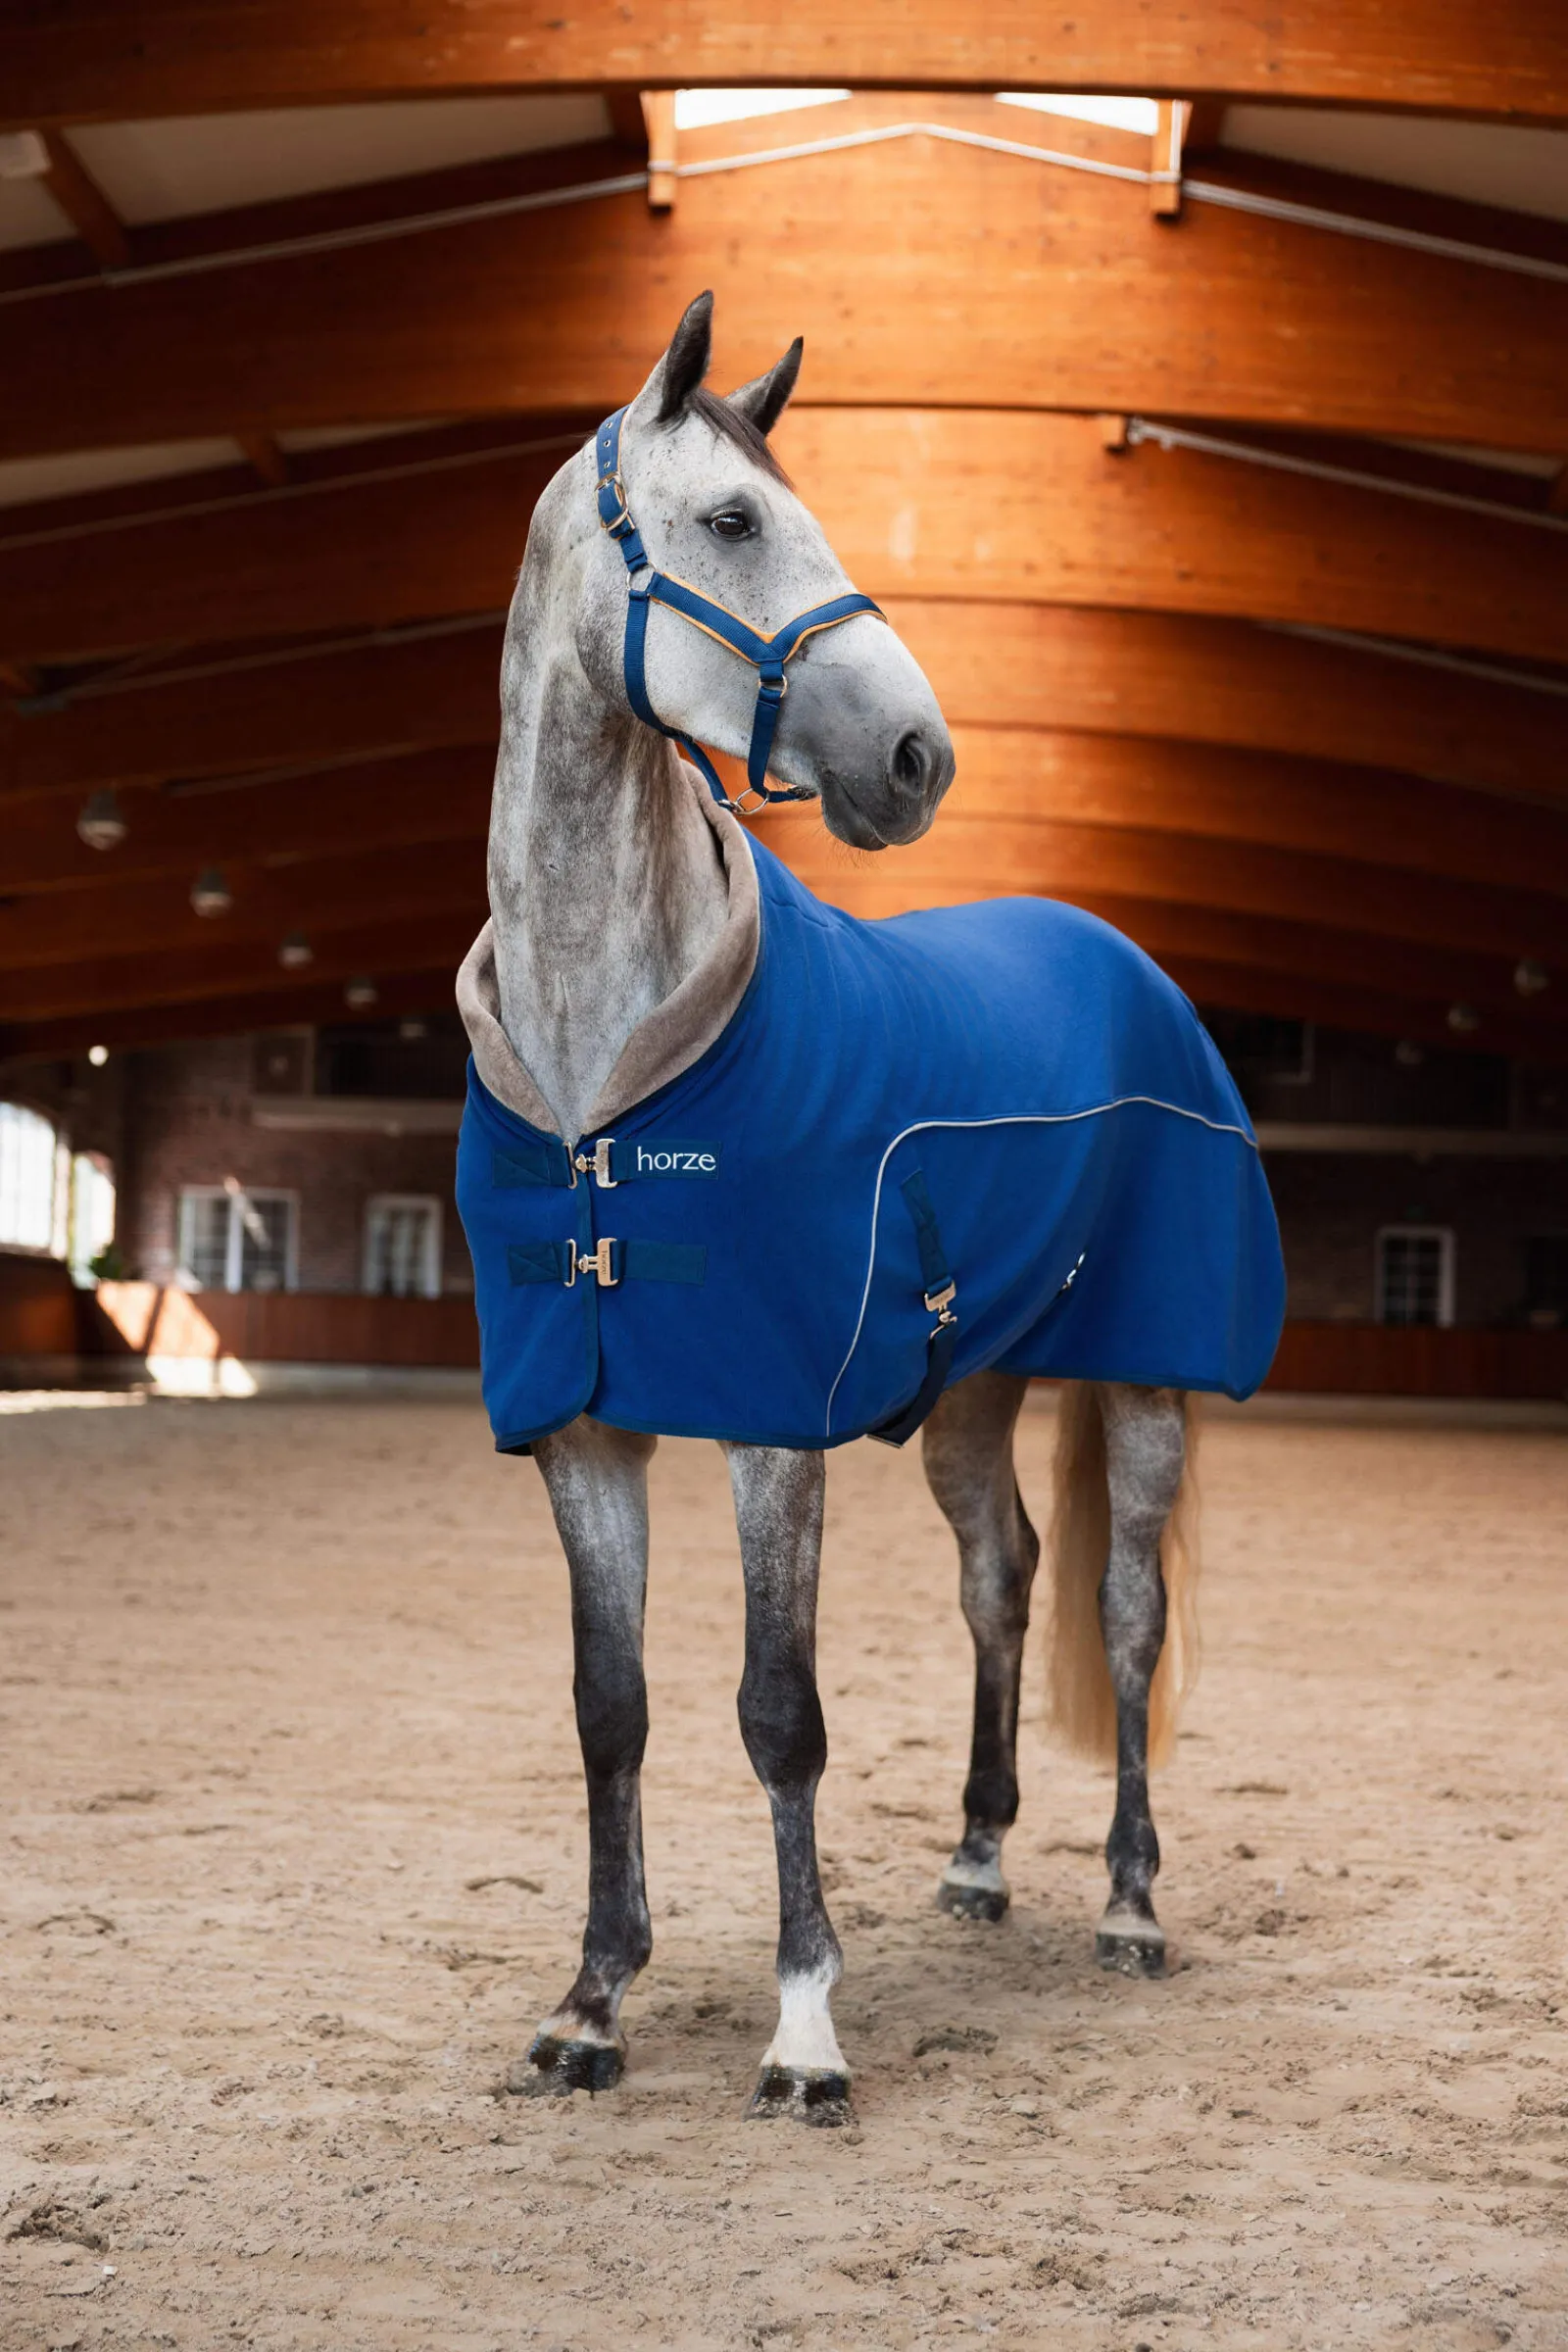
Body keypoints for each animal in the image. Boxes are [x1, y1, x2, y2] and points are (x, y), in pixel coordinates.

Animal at [454, 292, 1284, 2125]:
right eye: (731, 521)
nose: (920, 757)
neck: (606, 1073)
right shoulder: (581, 1432)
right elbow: (608, 1708)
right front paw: (591, 2007)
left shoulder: (774, 1427)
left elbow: (781, 1712)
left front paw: (804, 2034)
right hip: (970, 1390)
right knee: (1003, 1574)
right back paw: (977, 1862)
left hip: (1149, 1381)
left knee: (1124, 1615)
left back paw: (1128, 1903)